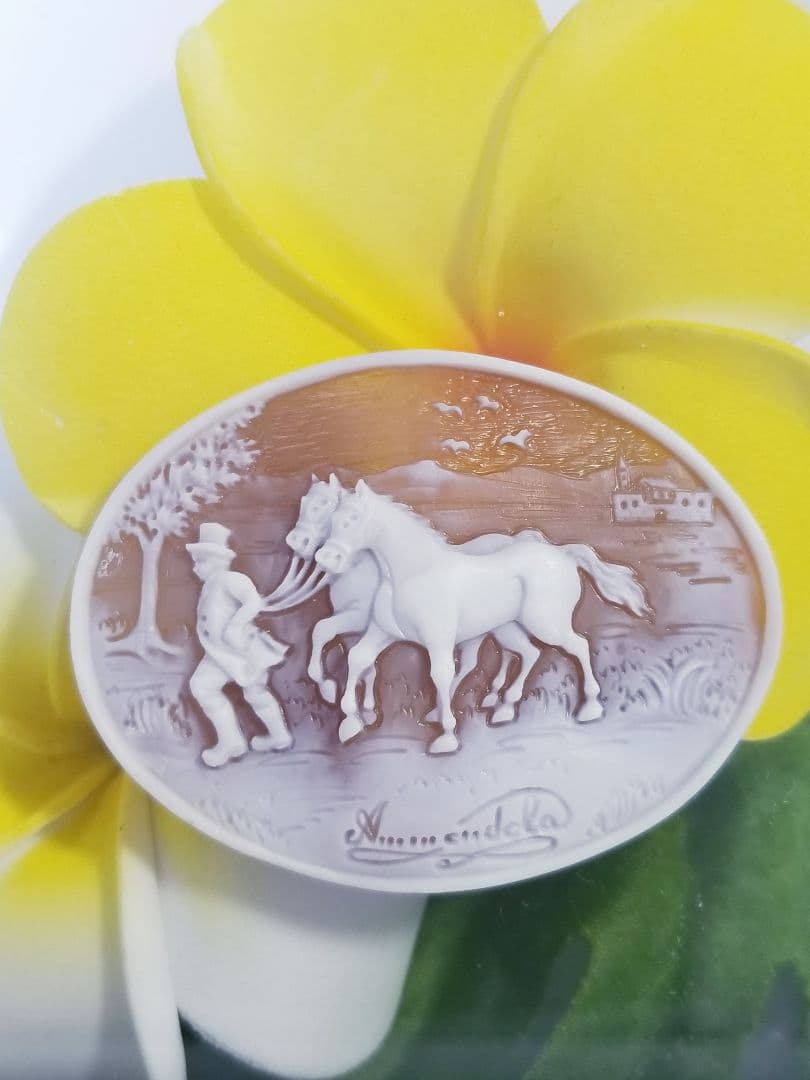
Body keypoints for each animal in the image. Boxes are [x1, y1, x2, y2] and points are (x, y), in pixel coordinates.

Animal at [280, 475, 545, 733]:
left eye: (325, 506)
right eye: (304, 503)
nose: (297, 542)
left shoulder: (357, 618)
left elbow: (324, 631)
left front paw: (335, 694)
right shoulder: (360, 628)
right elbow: (355, 657)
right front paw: (362, 710)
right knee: (502, 655)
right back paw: (489, 699)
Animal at [316, 480, 651, 754]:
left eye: (353, 520)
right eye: (330, 520)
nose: (326, 558)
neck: (412, 574)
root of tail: (564, 555)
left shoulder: (437, 642)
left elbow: (440, 675)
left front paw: (446, 738)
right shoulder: (381, 632)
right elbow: (357, 657)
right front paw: (349, 723)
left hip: (547, 625)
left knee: (578, 646)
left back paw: (589, 708)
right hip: (508, 628)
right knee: (529, 653)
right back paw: (503, 708)